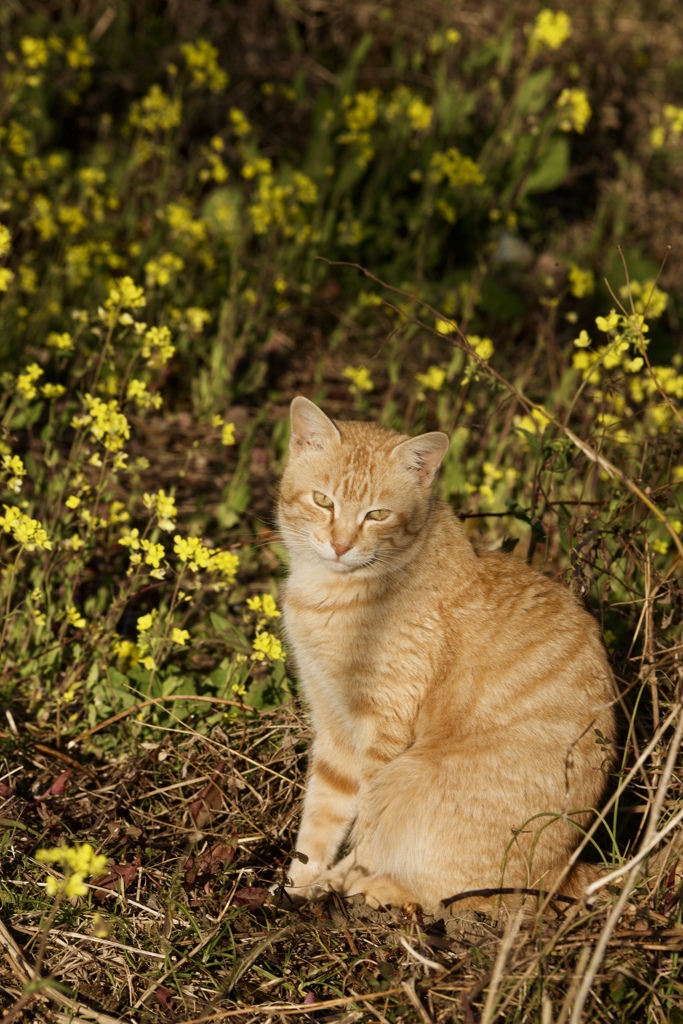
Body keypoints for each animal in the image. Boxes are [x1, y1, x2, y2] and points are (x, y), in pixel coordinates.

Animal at [280, 395, 618, 909]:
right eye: (323, 501)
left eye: (377, 515)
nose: (340, 545)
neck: (332, 593)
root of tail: (564, 868)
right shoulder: (332, 720)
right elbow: (323, 811)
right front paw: (301, 880)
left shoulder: (383, 728)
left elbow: (365, 828)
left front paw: (336, 880)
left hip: (411, 777)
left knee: (450, 895)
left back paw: (373, 887)